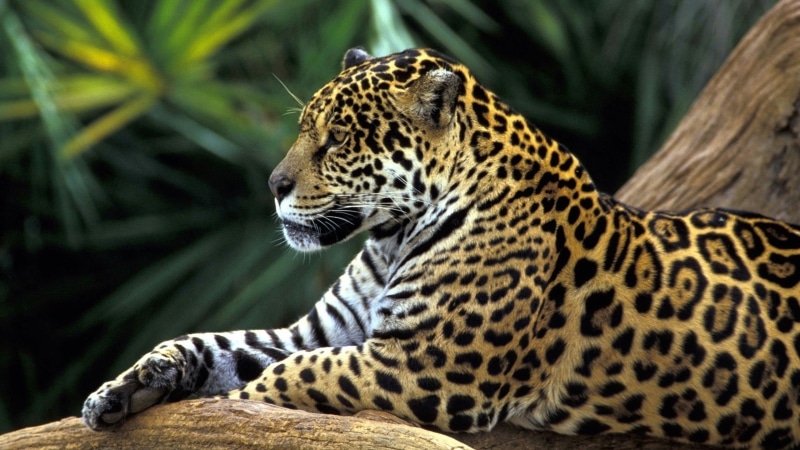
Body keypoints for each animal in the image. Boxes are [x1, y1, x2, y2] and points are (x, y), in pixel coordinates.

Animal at [82, 47, 800, 448]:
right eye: (304, 129)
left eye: (337, 140)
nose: (273, 185)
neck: (393, 237)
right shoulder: (323, 331)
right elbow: (209, 345)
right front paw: (124, 390)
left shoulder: (429, 366)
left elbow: (290, 377)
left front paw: (232, 408)